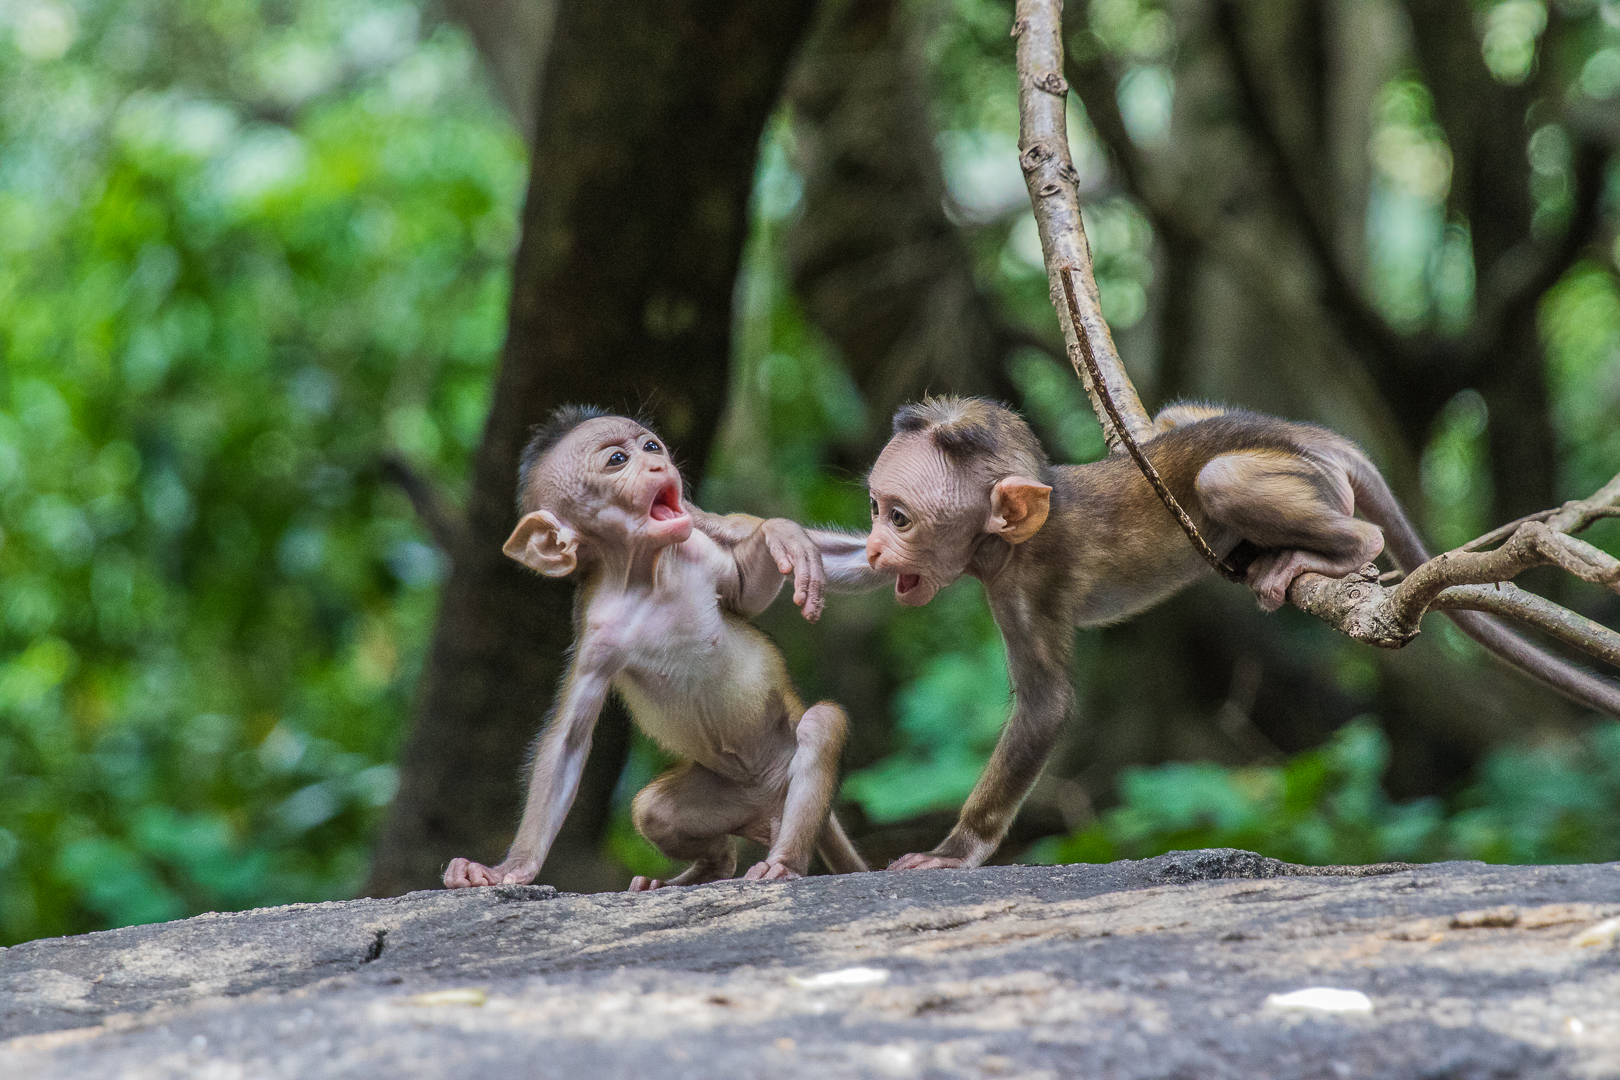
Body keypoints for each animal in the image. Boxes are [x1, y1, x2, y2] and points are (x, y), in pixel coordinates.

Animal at [443, 406, 868, 891]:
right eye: (616, 459)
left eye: (650, 446)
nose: (657, 464)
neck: (647, 576)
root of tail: (771, 803)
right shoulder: (597, 633)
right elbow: (569, 738)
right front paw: (512, 867)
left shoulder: (701, 552)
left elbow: (745, 591)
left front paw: (779, 535)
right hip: (730, 796)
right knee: (655, 811)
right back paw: (703, 869)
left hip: (788, 767)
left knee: (820, 725)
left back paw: (784, 862)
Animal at [861, 395, 1620, 871]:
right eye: (874, 508)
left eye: (897, 517)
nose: (869, 549)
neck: (1007, 542)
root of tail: (1303, 434)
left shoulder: (1031, 583)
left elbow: (1046, 707)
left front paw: (955, 850)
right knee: (1178, 418)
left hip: (1292, 475)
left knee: (1230, 480)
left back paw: (1343, 549)